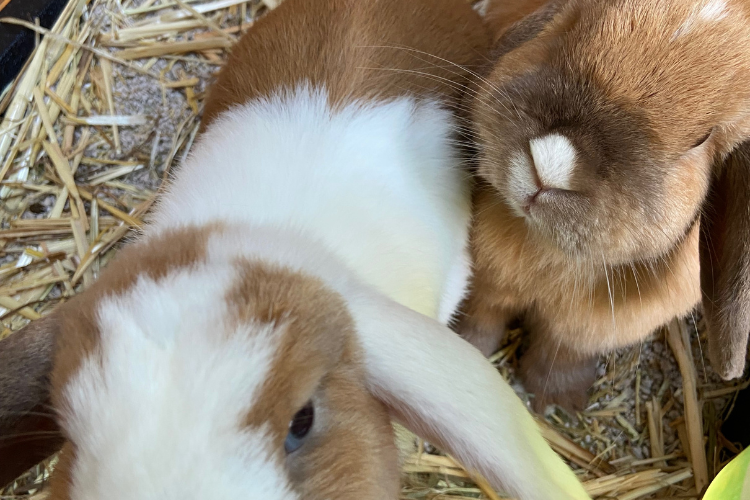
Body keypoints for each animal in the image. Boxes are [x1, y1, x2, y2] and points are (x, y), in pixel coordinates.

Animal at [458, 0, 750, 410]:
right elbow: (480, 315)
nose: (550, 163)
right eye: (571, 22)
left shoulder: (587, 331)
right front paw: (465, 348)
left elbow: (563, 351)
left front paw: (557, 399)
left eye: (701, 139)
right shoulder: (486, 283)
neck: (547, 253)